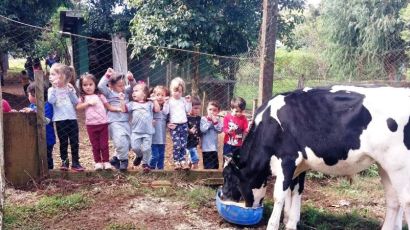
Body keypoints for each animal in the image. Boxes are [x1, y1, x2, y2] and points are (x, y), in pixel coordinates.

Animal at [221, 86, 410, 230]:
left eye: (228, 176)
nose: (222, 195)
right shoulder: (300, 164)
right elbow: (296, 190)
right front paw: (290, 221)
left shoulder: (287, 159)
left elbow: (279, 195)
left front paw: (274, 225)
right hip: (385, 166)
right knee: (394, 201)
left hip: (400, 166)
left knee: (405, 202)